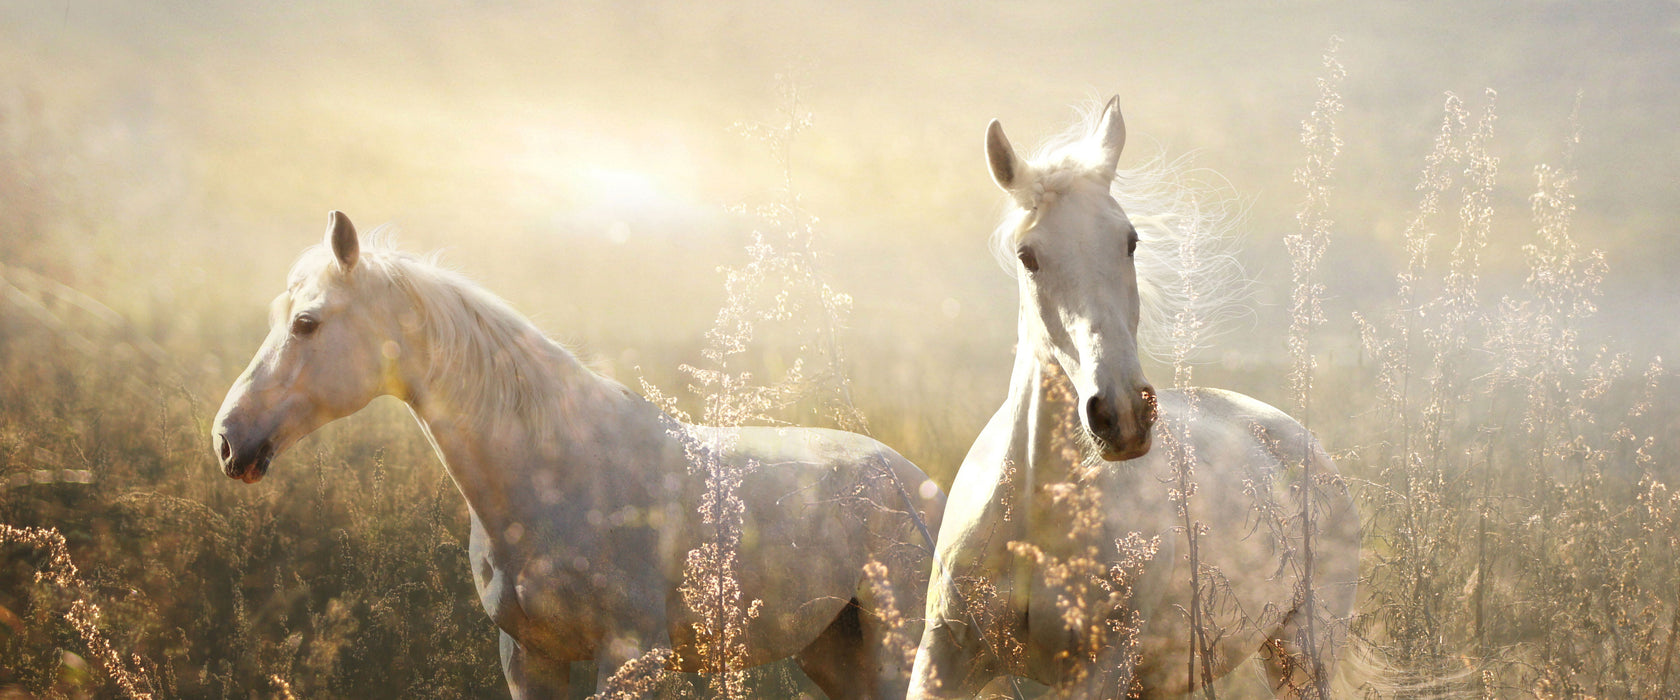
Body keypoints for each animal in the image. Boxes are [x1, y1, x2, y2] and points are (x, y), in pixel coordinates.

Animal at [211, 214, 947, 698]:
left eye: (307, 323)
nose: (227, 439)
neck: (558, 477)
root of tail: (920, 486)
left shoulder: (630, 660)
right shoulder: (528, 657)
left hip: (896, 648)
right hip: (834, 652)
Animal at [913, 99, 1357, 698]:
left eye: (1130, 241)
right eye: (1028, 256)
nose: (1121, 414)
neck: (1035, 514)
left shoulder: (1099, 666)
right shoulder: (945, 651)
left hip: (1304, 654)